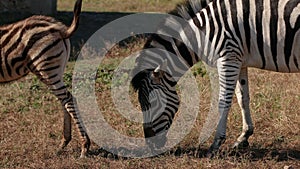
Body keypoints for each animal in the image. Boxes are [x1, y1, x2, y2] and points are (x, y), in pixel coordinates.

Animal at [0, 0, 90, 158]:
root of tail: (60, 29)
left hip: (48, 70)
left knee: (68, 99)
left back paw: (84, 146)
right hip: (54, 71)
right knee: (65, 99)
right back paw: (64, 143)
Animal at [131, 0, 300, 156]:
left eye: (152, 103)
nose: (151, 146)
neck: (202, 33)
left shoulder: (228, 59)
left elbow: (223, 102)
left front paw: (216, 144)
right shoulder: (239, 60)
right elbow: (242, 98)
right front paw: (243, 137)